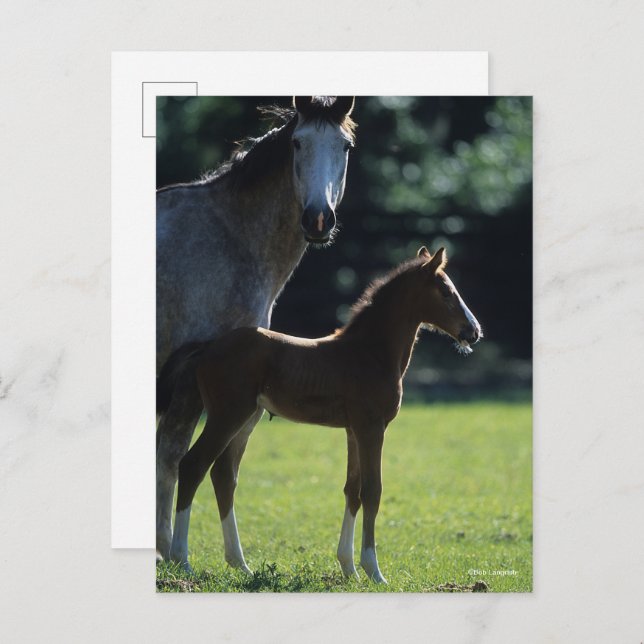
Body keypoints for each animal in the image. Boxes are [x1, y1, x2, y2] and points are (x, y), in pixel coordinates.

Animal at [156, 96, 357, 567]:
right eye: (298, 143)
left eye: (345, 146)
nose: (318, 219)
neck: (229, 238)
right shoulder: (192, 384)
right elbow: (174, 456)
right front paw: (171, 553)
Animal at [167, 245, 482, 583]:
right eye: (447, 292)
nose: (474, 331)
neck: (370, 353)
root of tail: (209, 346)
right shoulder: (372, 427)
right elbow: (373, 491)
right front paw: (374, 571)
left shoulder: (354, 429)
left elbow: (352, 490)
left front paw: (349, 568)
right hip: (227, 415)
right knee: (193, 465)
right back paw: (181, 559)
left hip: (245, 419)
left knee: (224, 475)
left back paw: (240, 563)